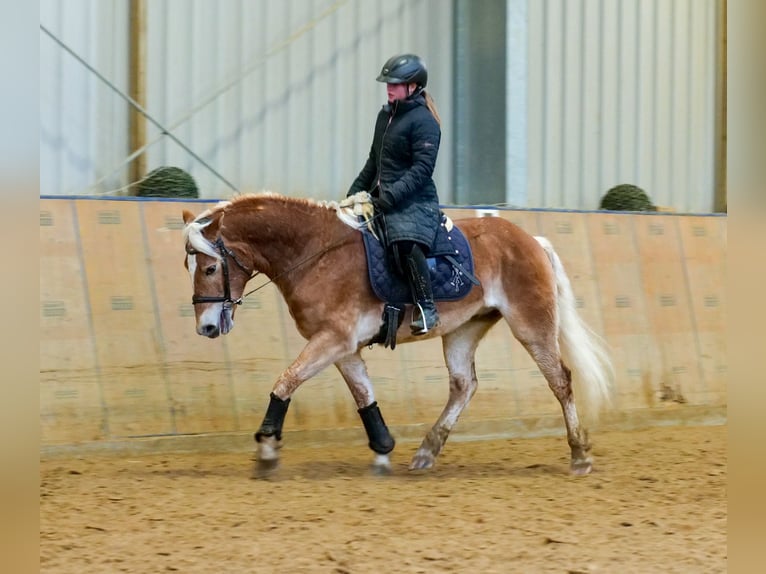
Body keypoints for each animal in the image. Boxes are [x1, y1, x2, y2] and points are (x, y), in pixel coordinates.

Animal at [183, 194, 616, 476]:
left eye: (209, 267)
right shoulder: (343, 347)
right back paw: (426, 452)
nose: (206, 327)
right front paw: (383, 450)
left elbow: (286, 381)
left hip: (530, 323)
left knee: (560, 379)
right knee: (464, 385)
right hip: (463, 329)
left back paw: (580, 454)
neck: (316, 254)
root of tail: (531, 240)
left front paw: (268, 449)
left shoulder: (334, 339)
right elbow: (364, 396)